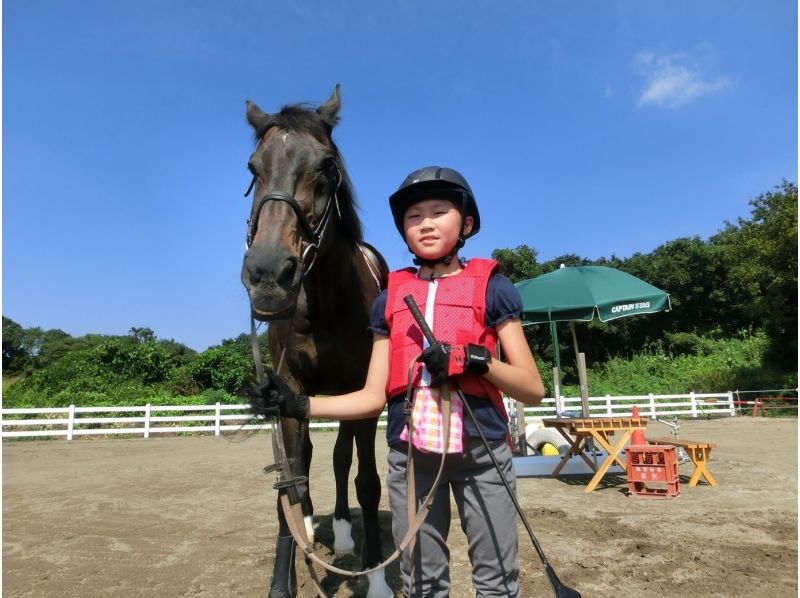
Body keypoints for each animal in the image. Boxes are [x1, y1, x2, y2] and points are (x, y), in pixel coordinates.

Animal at [242, 85, 392, 598]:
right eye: (253, 167)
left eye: (327, 166)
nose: (268, 274)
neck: (325, 302)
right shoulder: (286, 389)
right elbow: (291, 474)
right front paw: (281, 579)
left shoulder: (364, 392)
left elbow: (366, 480)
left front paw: (377, 577)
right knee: (305, 461)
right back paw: (309, 526)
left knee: (343, 458)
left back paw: (344, 532)